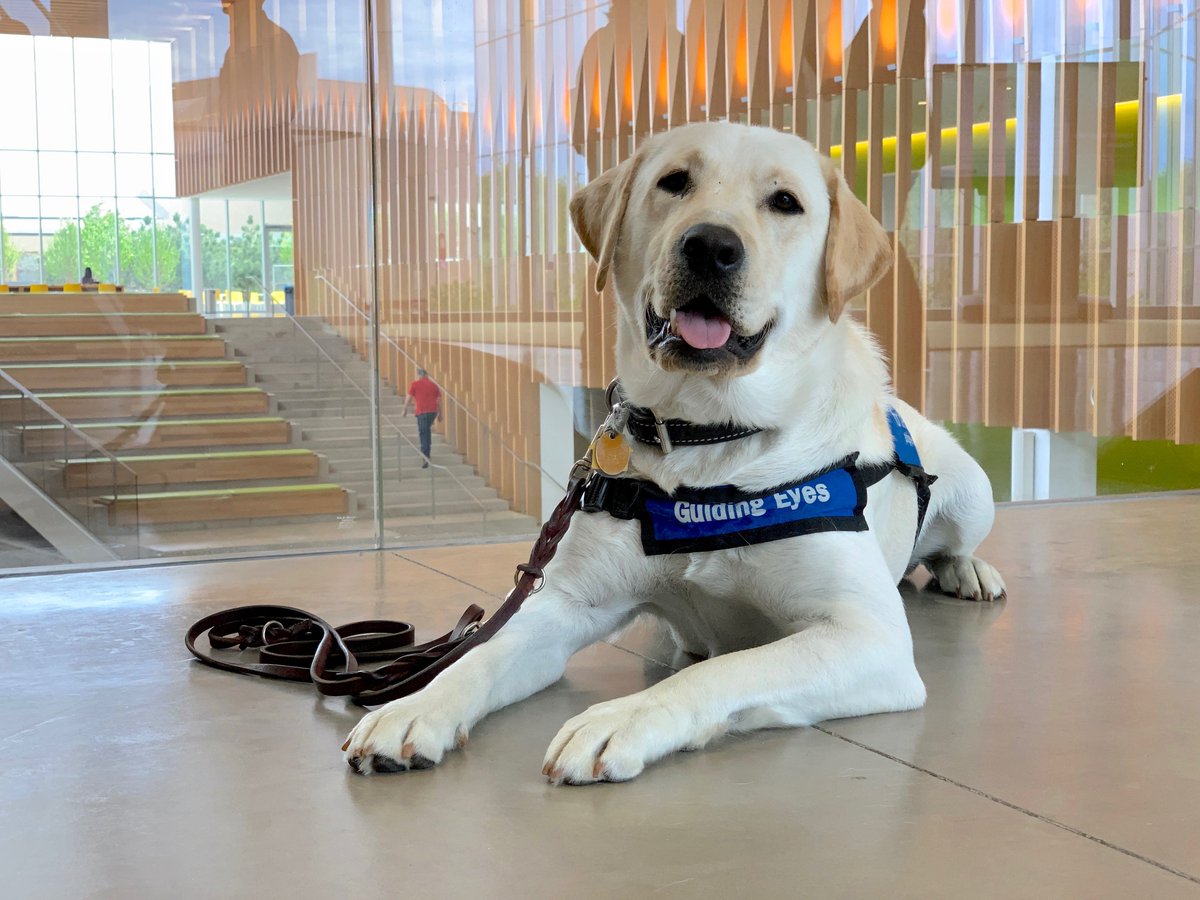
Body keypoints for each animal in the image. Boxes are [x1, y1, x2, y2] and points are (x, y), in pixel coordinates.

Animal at [345, 123, 1003, 787]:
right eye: (674, 182)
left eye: (785, 202)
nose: (710, 245)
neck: (710, 435)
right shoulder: (563, 605)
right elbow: (480, 653)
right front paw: (414, 707)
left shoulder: (867, 636)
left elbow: (724, 667)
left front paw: (620, 718)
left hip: (974, 492)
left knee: (951, 543)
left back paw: (967, 570)